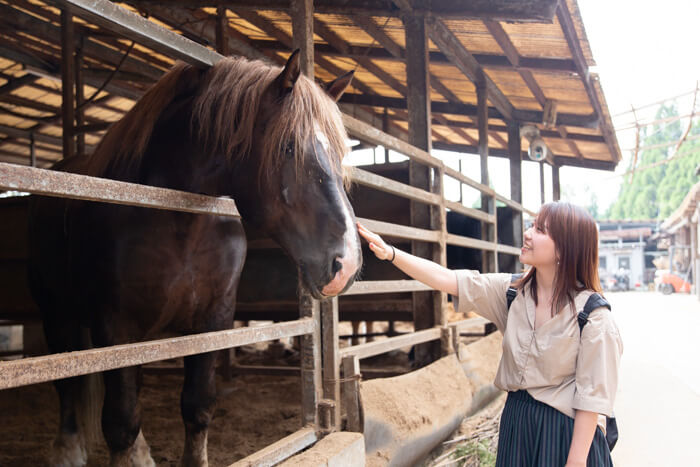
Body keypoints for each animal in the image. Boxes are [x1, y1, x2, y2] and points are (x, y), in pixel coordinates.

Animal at [26, 51, 360, 467]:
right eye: (287, 147)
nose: (346, 263)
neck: (178, 220)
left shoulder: (212, 321)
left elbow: (198, 406)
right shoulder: (113, 324)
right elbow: (119, 423)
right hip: (58, 314)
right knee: (69, 386)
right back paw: (68, 450)